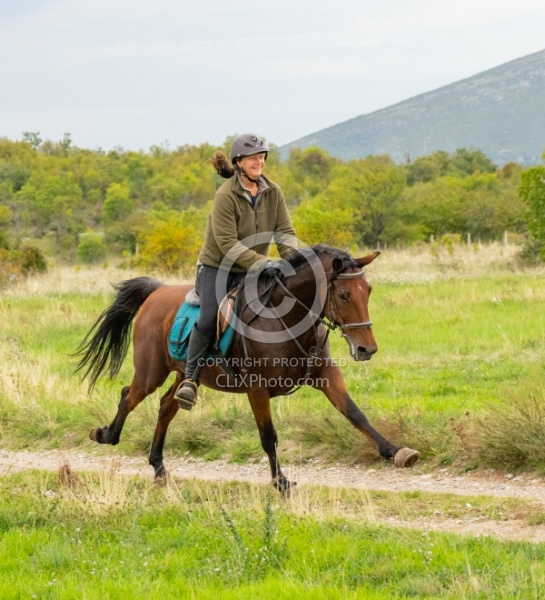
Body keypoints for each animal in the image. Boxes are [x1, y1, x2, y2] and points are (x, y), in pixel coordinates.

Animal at [74, 244, 418, 492]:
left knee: (166, 406)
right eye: (344, 295)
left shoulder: (326, 375)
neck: (287, 319)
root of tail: (157, 291)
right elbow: (269, 437)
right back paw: (105, 434)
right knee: (128, 396)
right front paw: (281, 483)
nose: (366, 349)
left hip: (184, 375)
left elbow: (356, 414)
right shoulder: (257, 388)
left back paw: (158, 468)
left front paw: (396, 451)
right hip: (151, 372)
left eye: (368, 291)